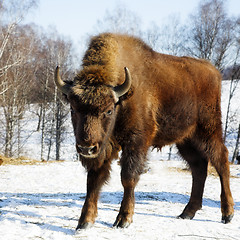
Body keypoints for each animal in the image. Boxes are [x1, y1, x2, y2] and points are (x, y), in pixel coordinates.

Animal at [54, 32, 234, 230]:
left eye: (108, 110)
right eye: (73, 109)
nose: (86, 148)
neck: (122, 99)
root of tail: (214, 71)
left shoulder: (136, 142)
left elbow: (128, 177)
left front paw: (123, 219)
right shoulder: (103, 149)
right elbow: (93, 180)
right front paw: (84, 221)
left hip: (208, 131)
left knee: (221, 160)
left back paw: (227, 213)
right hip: (185, 139)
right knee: (198, 167)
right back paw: (187, 212)